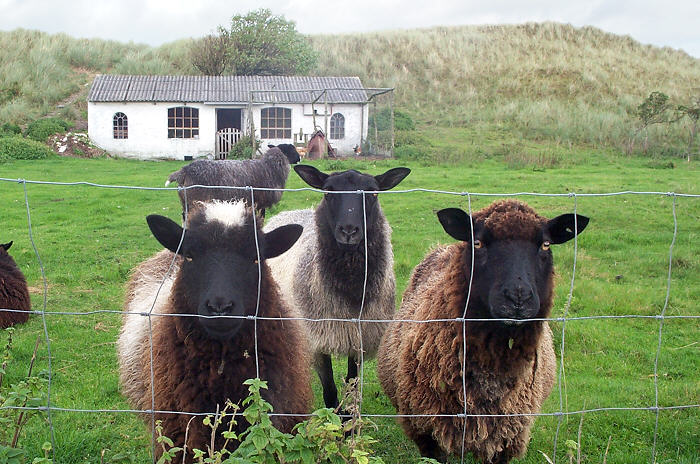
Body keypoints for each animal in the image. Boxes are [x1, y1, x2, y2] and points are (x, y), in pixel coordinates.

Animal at [378, 199, 592, 464]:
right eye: (478, 242)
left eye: (546, 244)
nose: (517, 298)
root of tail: (443, 247)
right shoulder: (426, 433)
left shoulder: (506, 439)